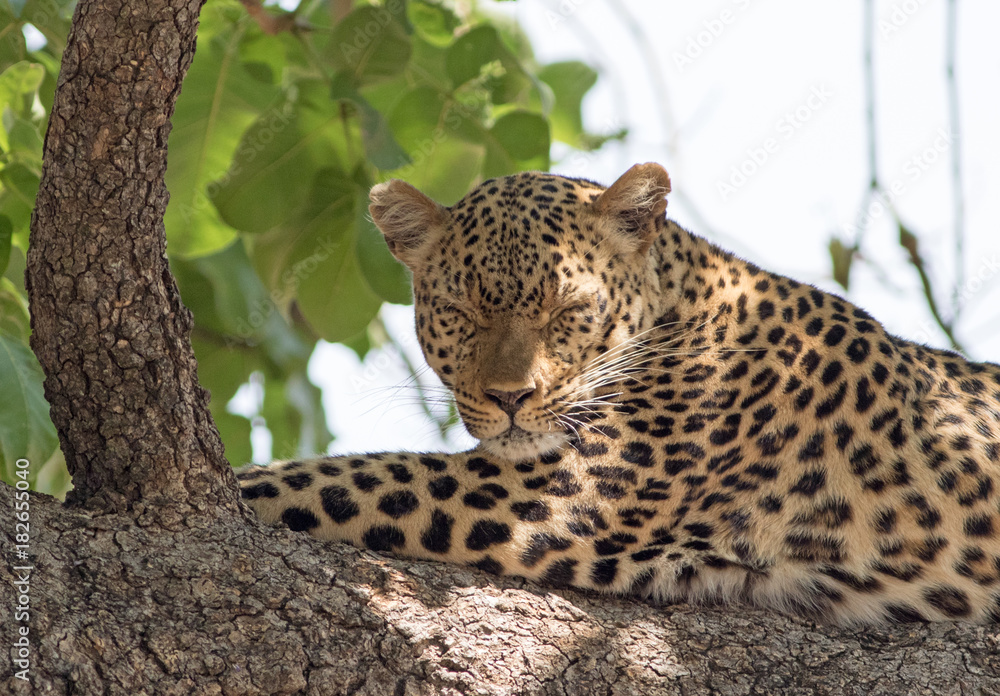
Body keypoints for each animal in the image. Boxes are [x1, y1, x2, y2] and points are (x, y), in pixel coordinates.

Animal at [238, 163, 1000, 625]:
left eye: (566, 308)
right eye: (462, 312)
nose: (510, 397)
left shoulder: (550, 489)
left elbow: (337, 479)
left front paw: (244, 483)